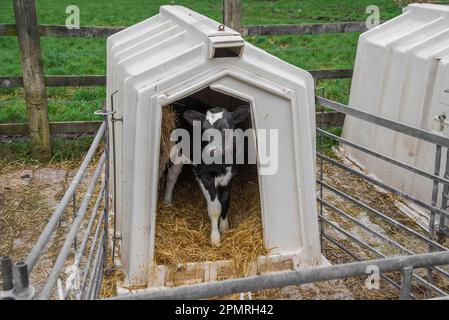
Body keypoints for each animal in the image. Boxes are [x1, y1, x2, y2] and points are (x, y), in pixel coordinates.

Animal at [163, 104, 250, 246]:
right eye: (203, 128)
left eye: (226, 126)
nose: (211, 151)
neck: (221, 165)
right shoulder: (204, 175)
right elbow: (215, 207)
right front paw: (215, 238)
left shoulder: (230, 175)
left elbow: (225, 202)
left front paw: (224, 228)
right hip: (175, 150)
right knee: (172, 175)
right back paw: (167, 200)